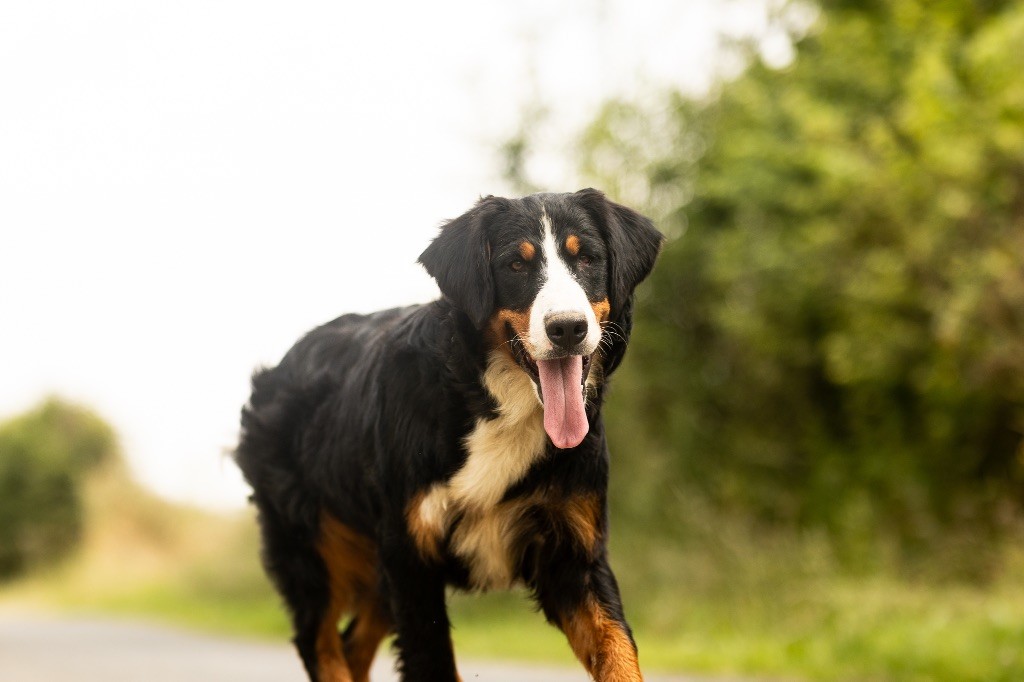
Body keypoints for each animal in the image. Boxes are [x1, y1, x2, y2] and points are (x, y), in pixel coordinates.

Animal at [234, 187, 663, 679]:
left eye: (588, 258)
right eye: (516, 265)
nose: (568, 328)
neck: (495, 407)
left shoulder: (573, 550)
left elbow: (618, 650)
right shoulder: (411, 554)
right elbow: (431, 660)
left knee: (351, 644)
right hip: (314, 550)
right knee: (320, 642)